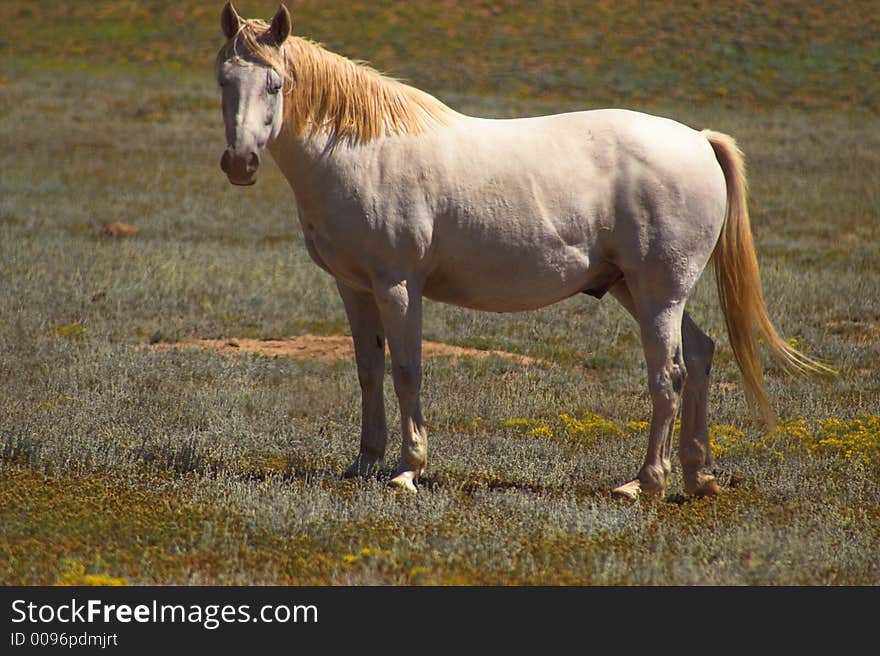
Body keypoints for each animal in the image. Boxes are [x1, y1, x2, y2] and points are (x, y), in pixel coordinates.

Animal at [217, 2, 828, 500]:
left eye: (275, 84)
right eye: (224, 80)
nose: (240, 162)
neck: (363, 150)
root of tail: (699, 139)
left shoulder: (398, 285)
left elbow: (407, 370)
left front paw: (408, 469)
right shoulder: (354, 287)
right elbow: (369, 370)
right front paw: (364, 463)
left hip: (659, 293)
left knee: (669, 374)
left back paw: (645, 483)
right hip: (637, 289)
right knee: (699, 358)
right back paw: (697, 477)